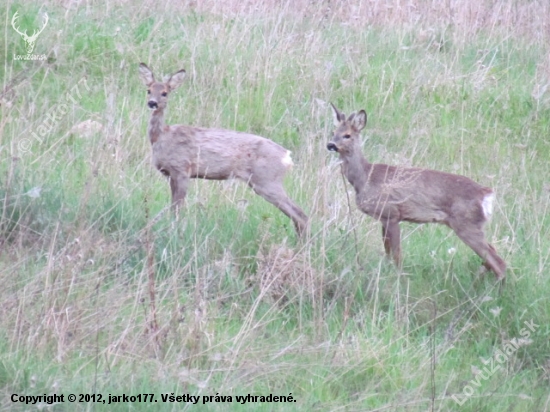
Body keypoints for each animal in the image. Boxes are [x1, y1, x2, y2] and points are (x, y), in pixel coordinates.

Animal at [139, 62, 310, 235]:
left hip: (267, 180)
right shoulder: (171, 175)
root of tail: (287, 157)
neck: (162, 137)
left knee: (300, 214)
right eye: (149, 90)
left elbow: (176, 208)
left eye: (165, 93)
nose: (152, 103)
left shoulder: (182, 170)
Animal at [328, 104, 508, 282]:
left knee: (499, 262)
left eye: (347, 135)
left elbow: (397, 254)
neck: (366, 178)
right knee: (493, 254)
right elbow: (387, 251)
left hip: (466, 224)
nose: (330, 145)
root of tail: (485, 193)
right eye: (333, 132)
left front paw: (398, 277)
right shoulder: (383, 218)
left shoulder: (391, 214)